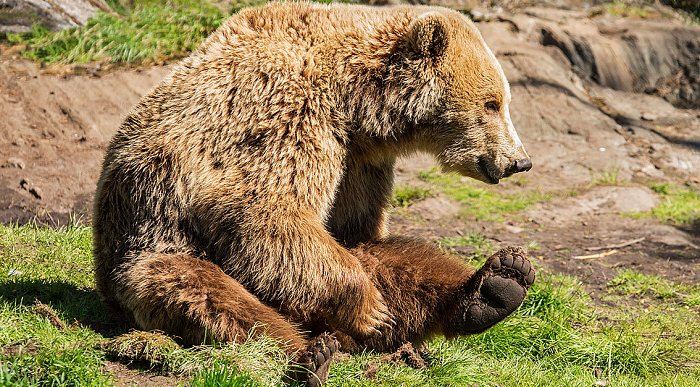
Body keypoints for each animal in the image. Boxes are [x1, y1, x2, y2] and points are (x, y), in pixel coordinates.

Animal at [91, 2, 532, 384]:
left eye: (503, 100)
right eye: (492, 103)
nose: (519, 161)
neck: (354, 99)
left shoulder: (357, 159)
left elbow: (356, 230)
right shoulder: (283, 110)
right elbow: (261, 209)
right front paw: (369, 309)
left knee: (396, 263)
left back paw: (495, 286)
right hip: (151, 245)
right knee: (214, 298)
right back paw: (311, 357)